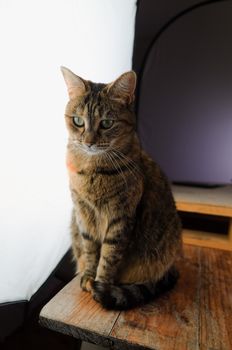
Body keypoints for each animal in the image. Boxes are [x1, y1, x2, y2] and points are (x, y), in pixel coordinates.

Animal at [60, 65, 182, 308]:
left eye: (107, 123)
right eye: (78, 121)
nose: (88, 142)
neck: (93, 170)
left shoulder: (121, 217)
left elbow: (109, 256)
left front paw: (101, 284)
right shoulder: (83, 214)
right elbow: (90, 250)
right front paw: (88, 277)